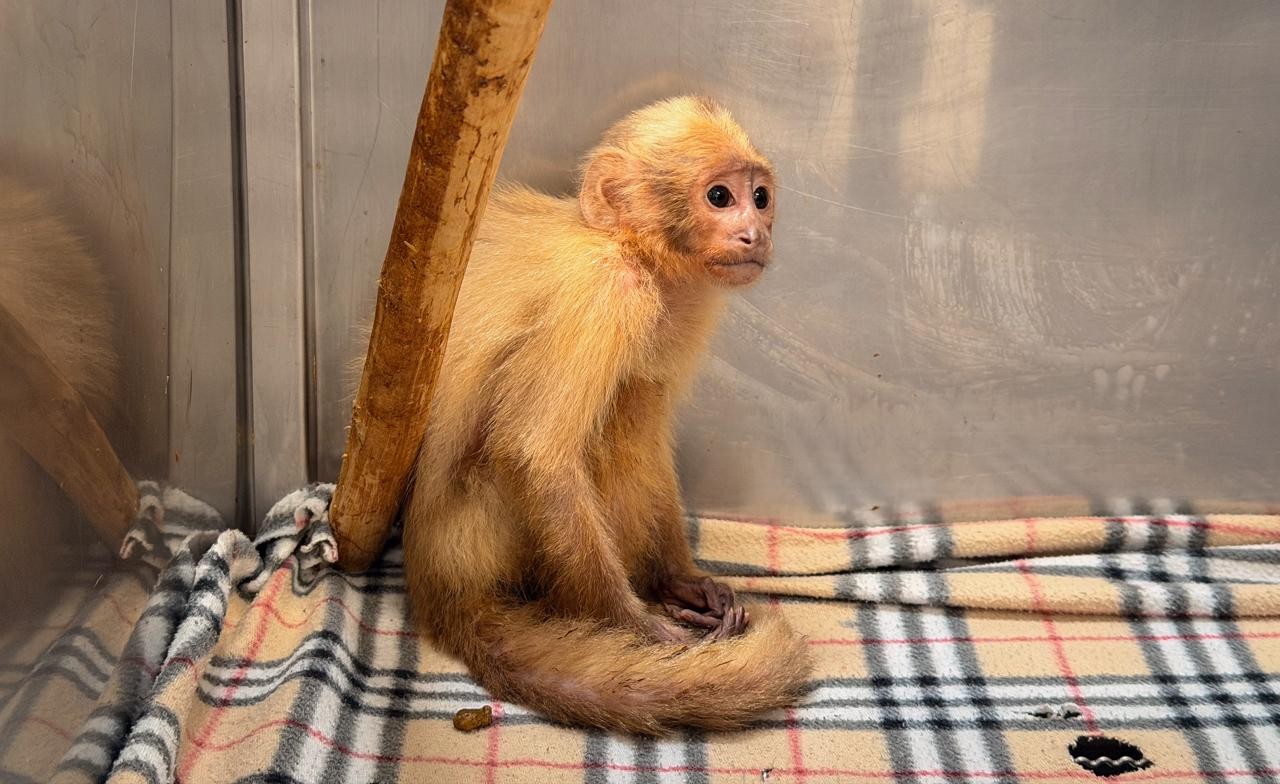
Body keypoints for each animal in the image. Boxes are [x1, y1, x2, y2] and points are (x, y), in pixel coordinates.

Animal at [400, 96, 812, 734]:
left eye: (761, 197)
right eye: (720, 197)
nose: (755, 233)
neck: (628, 247)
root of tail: (440, 583)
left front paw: (680, 581)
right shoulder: (608, 294)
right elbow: (535, 452)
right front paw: (638, 625)